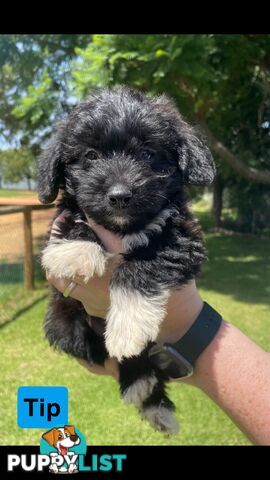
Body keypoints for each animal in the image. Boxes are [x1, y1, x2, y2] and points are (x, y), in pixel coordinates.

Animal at [39, 86, 215, 436]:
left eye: (148, 153)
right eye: (90, 156)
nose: (120, 195)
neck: (125, 227)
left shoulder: (184, 238)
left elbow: (141, 266)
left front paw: (128, 325)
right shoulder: (66, 217)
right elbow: (75, 216)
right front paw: (77, 250)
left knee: (135, 356)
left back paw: (144, 388)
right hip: (65, 326)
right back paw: (144, 389)